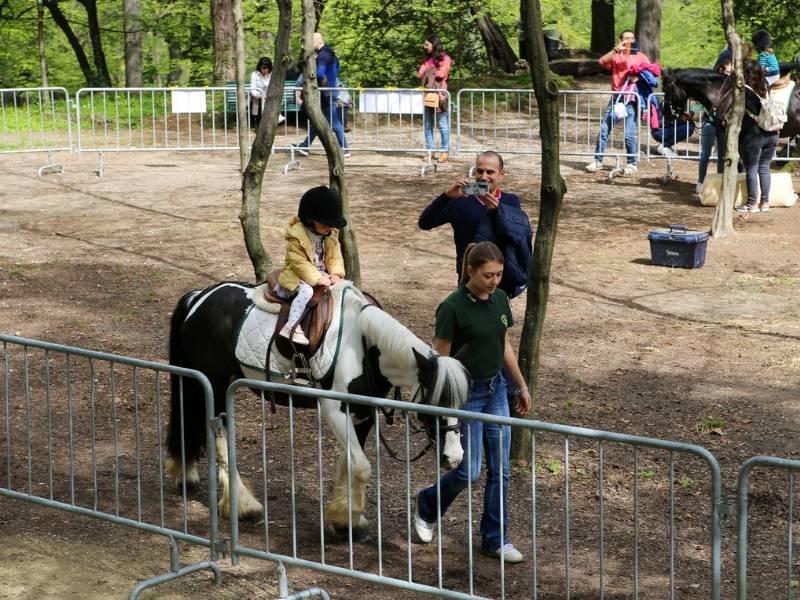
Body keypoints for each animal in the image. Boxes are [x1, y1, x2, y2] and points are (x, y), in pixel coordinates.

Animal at [164, 280, 469, 537]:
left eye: (461, 403)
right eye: (434, 403)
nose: (454, 457)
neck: (362, 347)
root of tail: (199, 297)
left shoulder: (363, 414)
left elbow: (348, 464)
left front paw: (344, 519)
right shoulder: (334, 411)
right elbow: (361, 467)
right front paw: (349, 524)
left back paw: (187, 475)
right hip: (214, 385)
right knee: (218, 436)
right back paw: (243, 506)